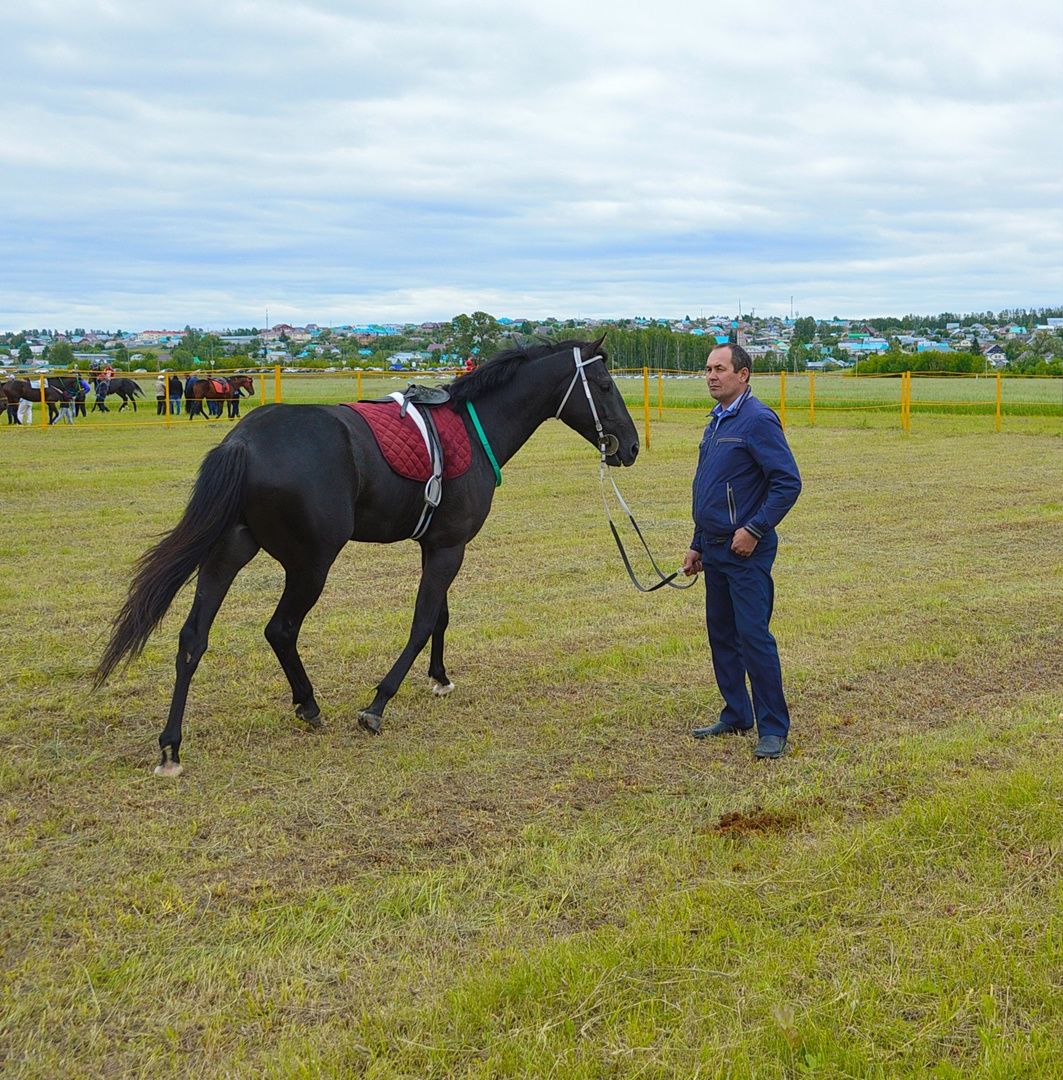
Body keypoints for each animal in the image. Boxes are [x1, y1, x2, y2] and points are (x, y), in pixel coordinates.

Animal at [95, 339, 639, 777]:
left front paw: (439, 678)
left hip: (230, 552)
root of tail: (243, 441)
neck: (473, 428)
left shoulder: (436, 545)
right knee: (280, 629)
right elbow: (423, 622)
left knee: (193, 638)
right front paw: (380, 701)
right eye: (605, 384)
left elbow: (440, 617)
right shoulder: (450, 547)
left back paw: (172, 745)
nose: (631, 447)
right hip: (310, 565)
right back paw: (308, 703)